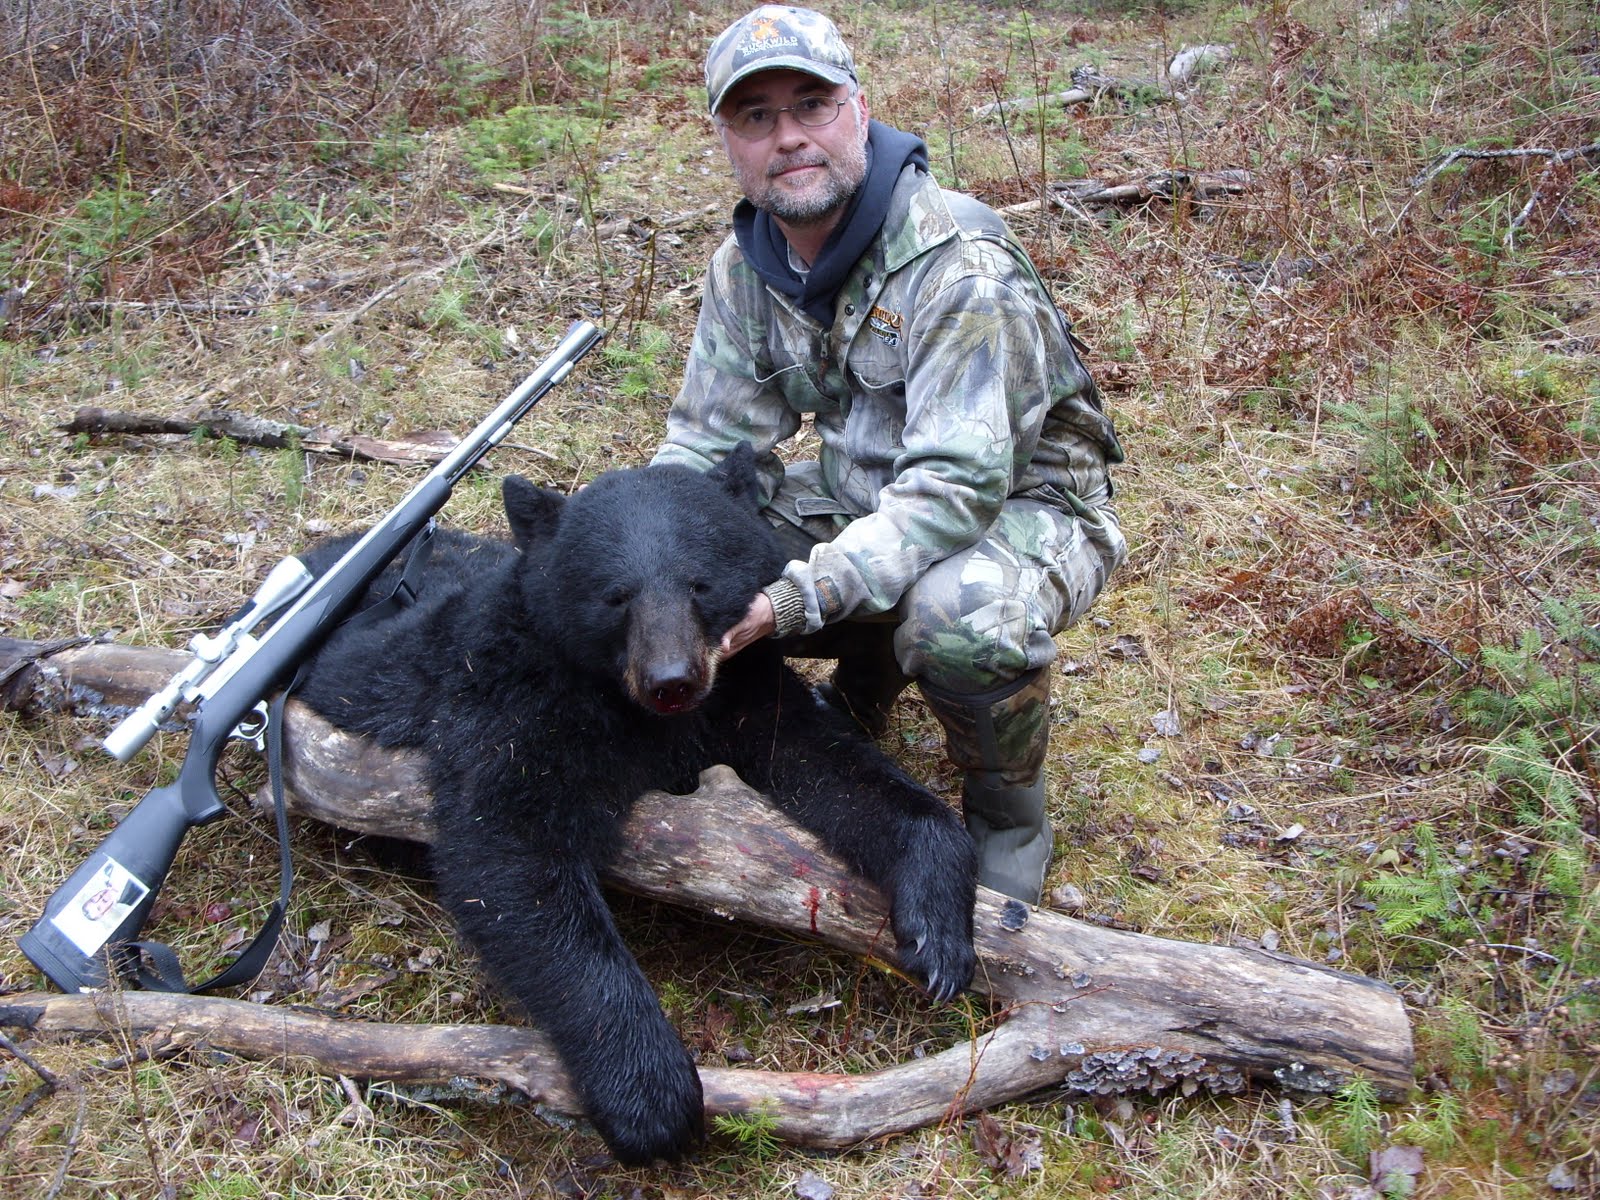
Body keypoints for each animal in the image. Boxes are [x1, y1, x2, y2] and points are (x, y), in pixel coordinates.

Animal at [292, 445, 978, 1166]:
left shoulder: (743, 694)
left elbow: (837, 766)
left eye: (700, 584)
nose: (671, 681)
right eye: (615, 595)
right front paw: (655, 1098)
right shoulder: (510, 713)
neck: (632, 713)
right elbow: (510, 858)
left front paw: (938, 936)